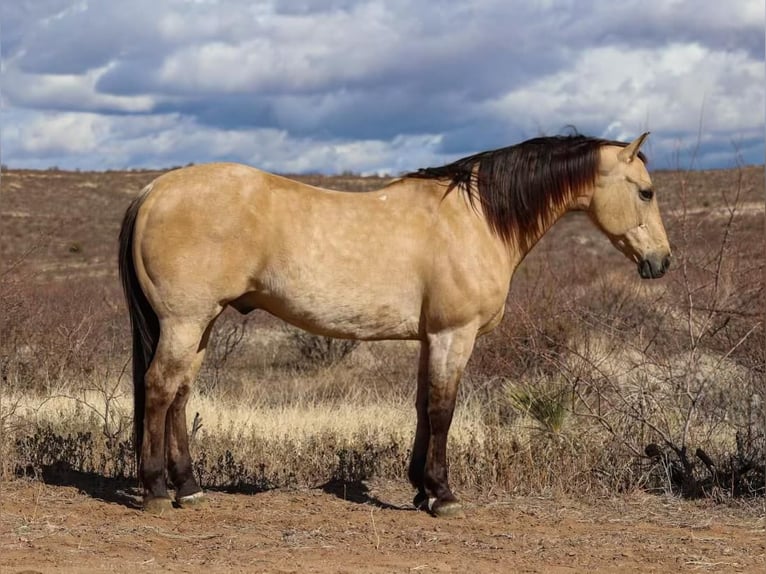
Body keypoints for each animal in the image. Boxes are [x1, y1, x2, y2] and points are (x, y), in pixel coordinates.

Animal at [118, 134, 672, 516]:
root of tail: (154, 190)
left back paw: (189, 488)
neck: (476, 219)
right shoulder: (454, 335)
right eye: (645, 192)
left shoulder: (431, 339)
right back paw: (156, 490)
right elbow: (444, 410)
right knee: (160, 388)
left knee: (180, 394)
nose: (662, 261)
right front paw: (443, 495)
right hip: (185, 322)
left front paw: (420, 489)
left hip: (201, 324)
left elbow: (425, 408)